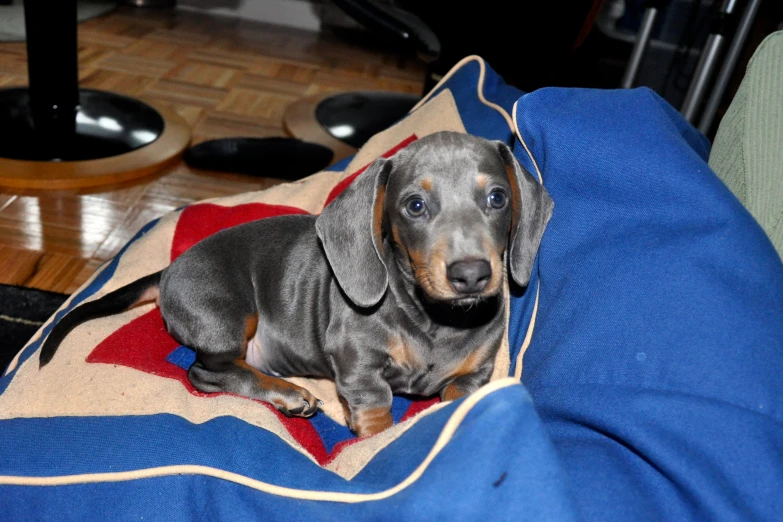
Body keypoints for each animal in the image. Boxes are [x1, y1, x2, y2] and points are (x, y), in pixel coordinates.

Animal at [38, 130, 552, 434]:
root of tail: (170, 268)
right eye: (414, 206)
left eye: (498, 197)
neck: (434, 321)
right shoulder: (358, 363)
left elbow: (458, 397)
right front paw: (376, 440)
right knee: (205, 372)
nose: (472, 275)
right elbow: (376, 409)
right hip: (227, 316)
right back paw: (289, 395)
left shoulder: (473, 377)